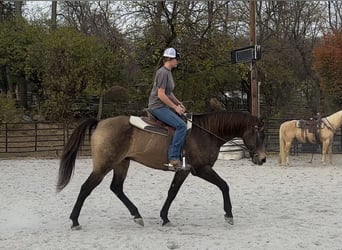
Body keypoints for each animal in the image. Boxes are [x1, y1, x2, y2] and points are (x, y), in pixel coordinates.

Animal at [56, 110, 268, 229]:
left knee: (116, 188)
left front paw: (164, 217)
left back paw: (137, 215)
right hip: (103, 166)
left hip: (122, 163)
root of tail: (100, 123)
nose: (263, 159)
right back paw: (74, 221)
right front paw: (229, 215)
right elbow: (224, 186)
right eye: (260, 134)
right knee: (86, 188)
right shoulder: (201, 169)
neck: (205, 133)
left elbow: (172, 192)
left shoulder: (183, 170)